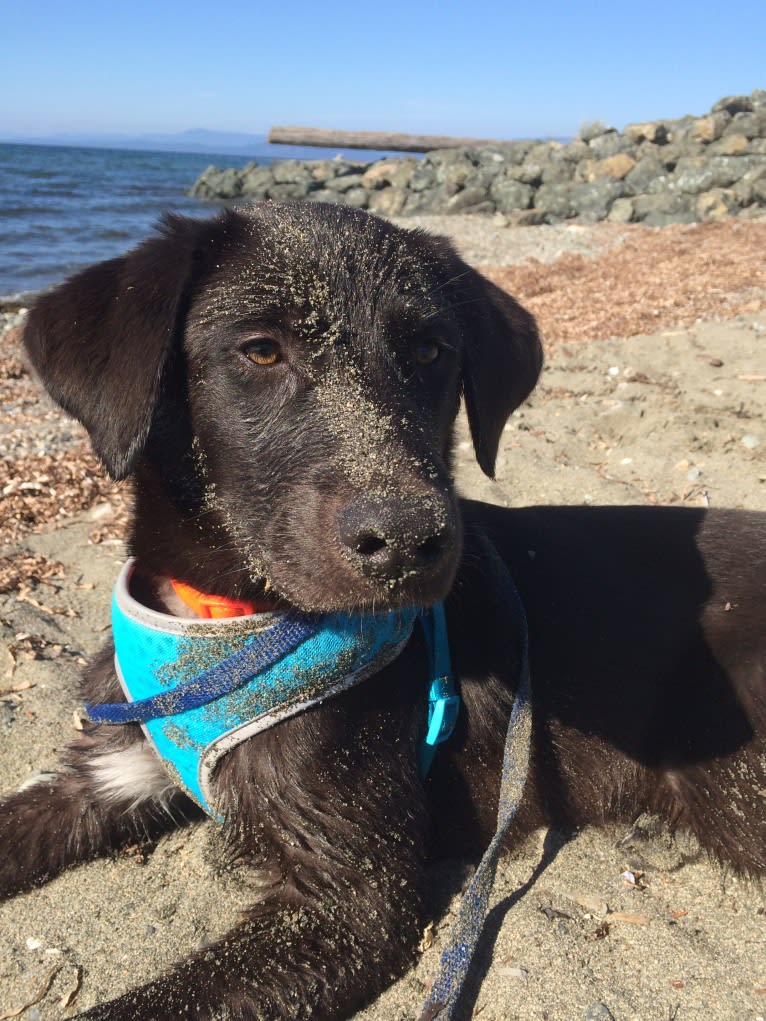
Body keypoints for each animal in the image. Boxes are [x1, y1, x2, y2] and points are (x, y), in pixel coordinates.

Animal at [1, 203, 766, 1016]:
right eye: (261, 350)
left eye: (431, 349)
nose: (405, 541)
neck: (222, 623)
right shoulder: (103, 778)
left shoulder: (351, 899)